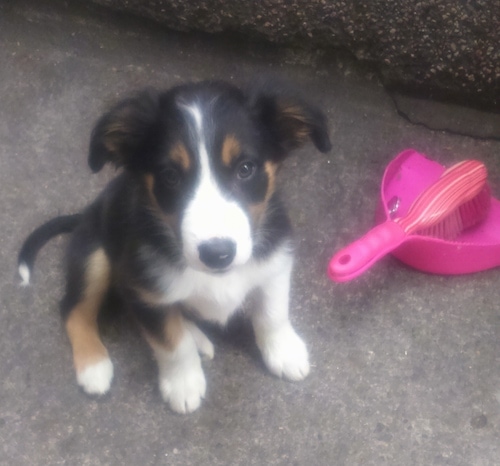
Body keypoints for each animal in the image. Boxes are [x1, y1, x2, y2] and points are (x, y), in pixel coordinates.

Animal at [17, 79, 330, 412]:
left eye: (246, 168)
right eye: (170, 176)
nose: (217, 254)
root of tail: (84, 214)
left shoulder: (275, 262)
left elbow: (273, 313)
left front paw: (284, 352)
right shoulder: (144, 287)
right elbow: (171, 343)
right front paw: (183, 384)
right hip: (95, 255)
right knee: (74, 309)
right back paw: (95, 367)